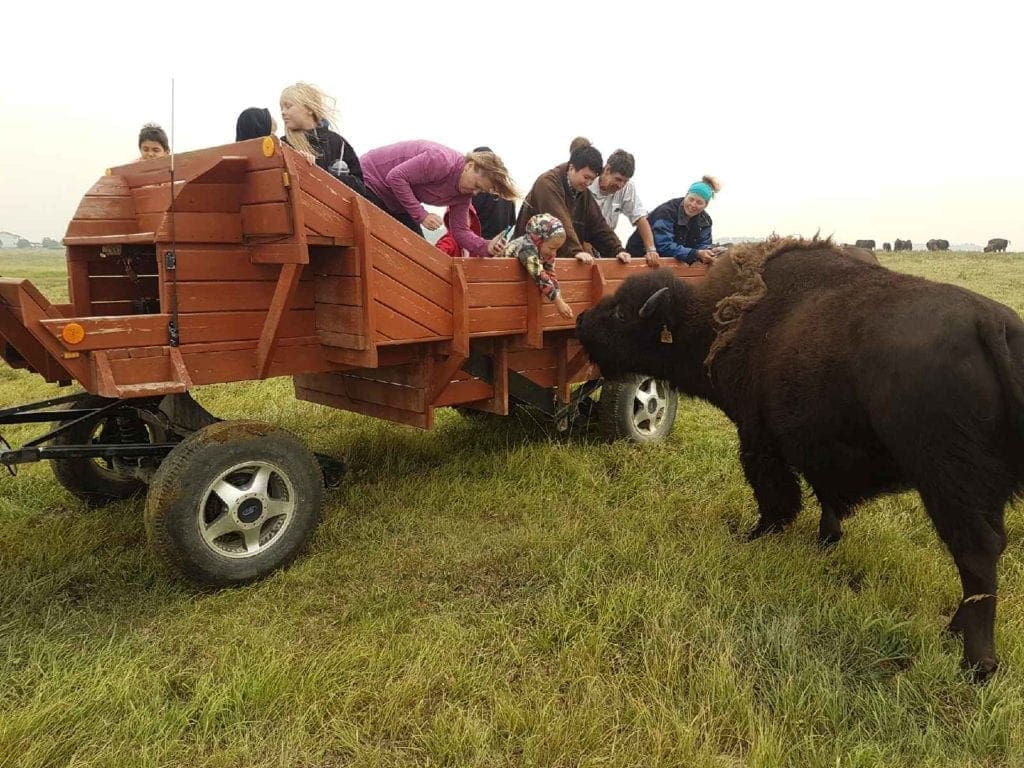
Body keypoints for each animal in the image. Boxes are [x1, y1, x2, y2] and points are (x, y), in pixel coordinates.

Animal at [577, 237, 1024, 680]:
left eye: (620, 313)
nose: (581, 321)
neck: (712, 321)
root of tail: (992, 323)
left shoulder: (758, 435)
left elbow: (776, 492)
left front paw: (758, 535)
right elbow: (825, 495)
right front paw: (826, 539)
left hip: (948, 481)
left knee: (976, 552)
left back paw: (976, 663)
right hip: (985, 490)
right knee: (987, 550)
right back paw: (954, 631)